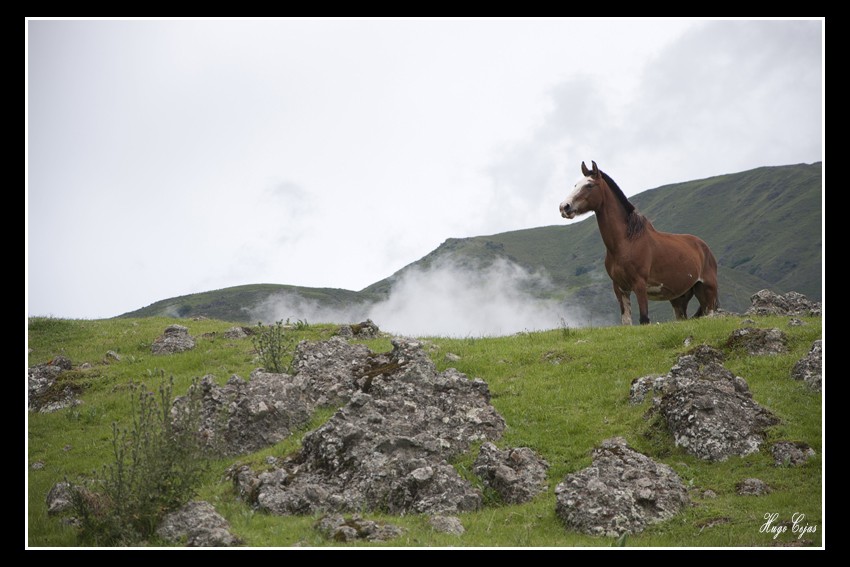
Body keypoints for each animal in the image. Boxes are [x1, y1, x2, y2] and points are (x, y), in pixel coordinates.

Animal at [560, 162, 720, 326]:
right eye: (575, 185)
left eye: (589, 185)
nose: (564, 207)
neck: (627, 242)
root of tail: (704, 248)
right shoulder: (620, 287)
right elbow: (626, 321)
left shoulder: (640, 285)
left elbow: (644, 319)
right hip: (679, 298)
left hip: (708, 292)